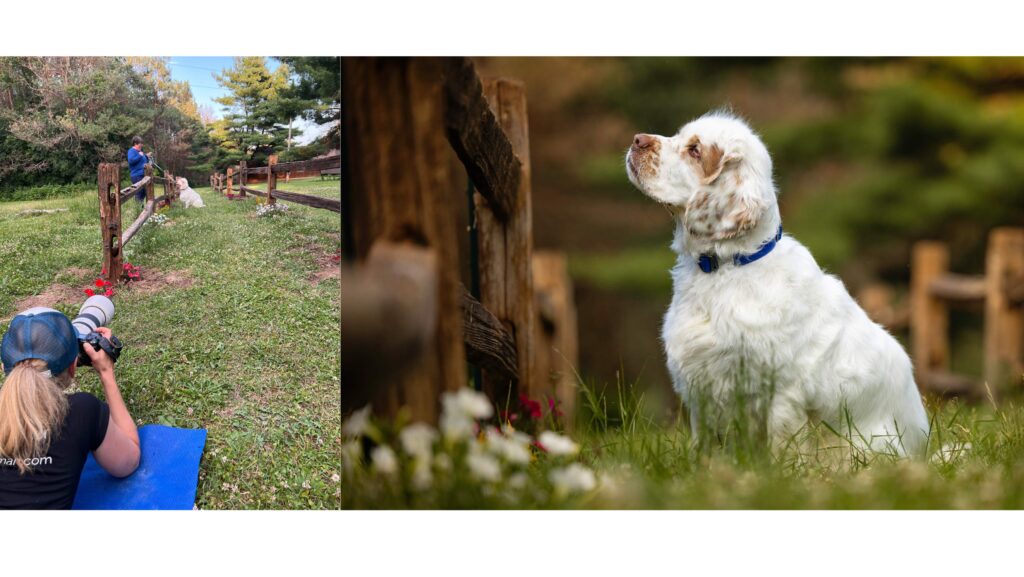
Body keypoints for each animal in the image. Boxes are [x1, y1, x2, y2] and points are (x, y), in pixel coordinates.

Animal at [622, 111, 929, 457]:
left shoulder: (780, 391)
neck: (727, 267)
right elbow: (706, 445)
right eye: (679, 136)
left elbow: (783, 446)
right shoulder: (701, 387)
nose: (637, 139)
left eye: (696, 150)